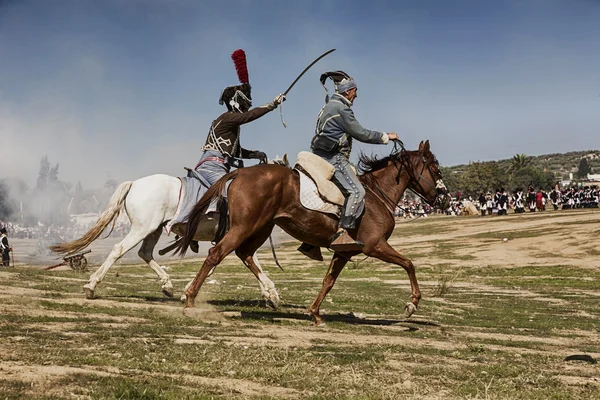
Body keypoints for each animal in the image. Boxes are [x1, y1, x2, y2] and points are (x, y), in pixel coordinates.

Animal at [49, 173, 282, 308]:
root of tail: (134, 184)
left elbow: (240, 263)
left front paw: (270, 295)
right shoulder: (236, 236)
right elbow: (248, 262)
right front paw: (271, 294)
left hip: (154, 229)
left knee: (145, 252)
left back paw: (167, 285)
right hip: (142, 228)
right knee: (118, 249)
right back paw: (91, 286)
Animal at [176, 141, 448, 324]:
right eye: (435, 169)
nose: (443, 199)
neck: (376, 195)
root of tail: (242, 172)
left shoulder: (345, 252)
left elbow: (329, 281)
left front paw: (315, 313)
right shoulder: (375, 245)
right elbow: (409, 264)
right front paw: (412, 304)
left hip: (262, 227)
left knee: (245, 255)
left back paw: (271, 295)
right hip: (245, 227)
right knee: (216, 254)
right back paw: (189, 299)